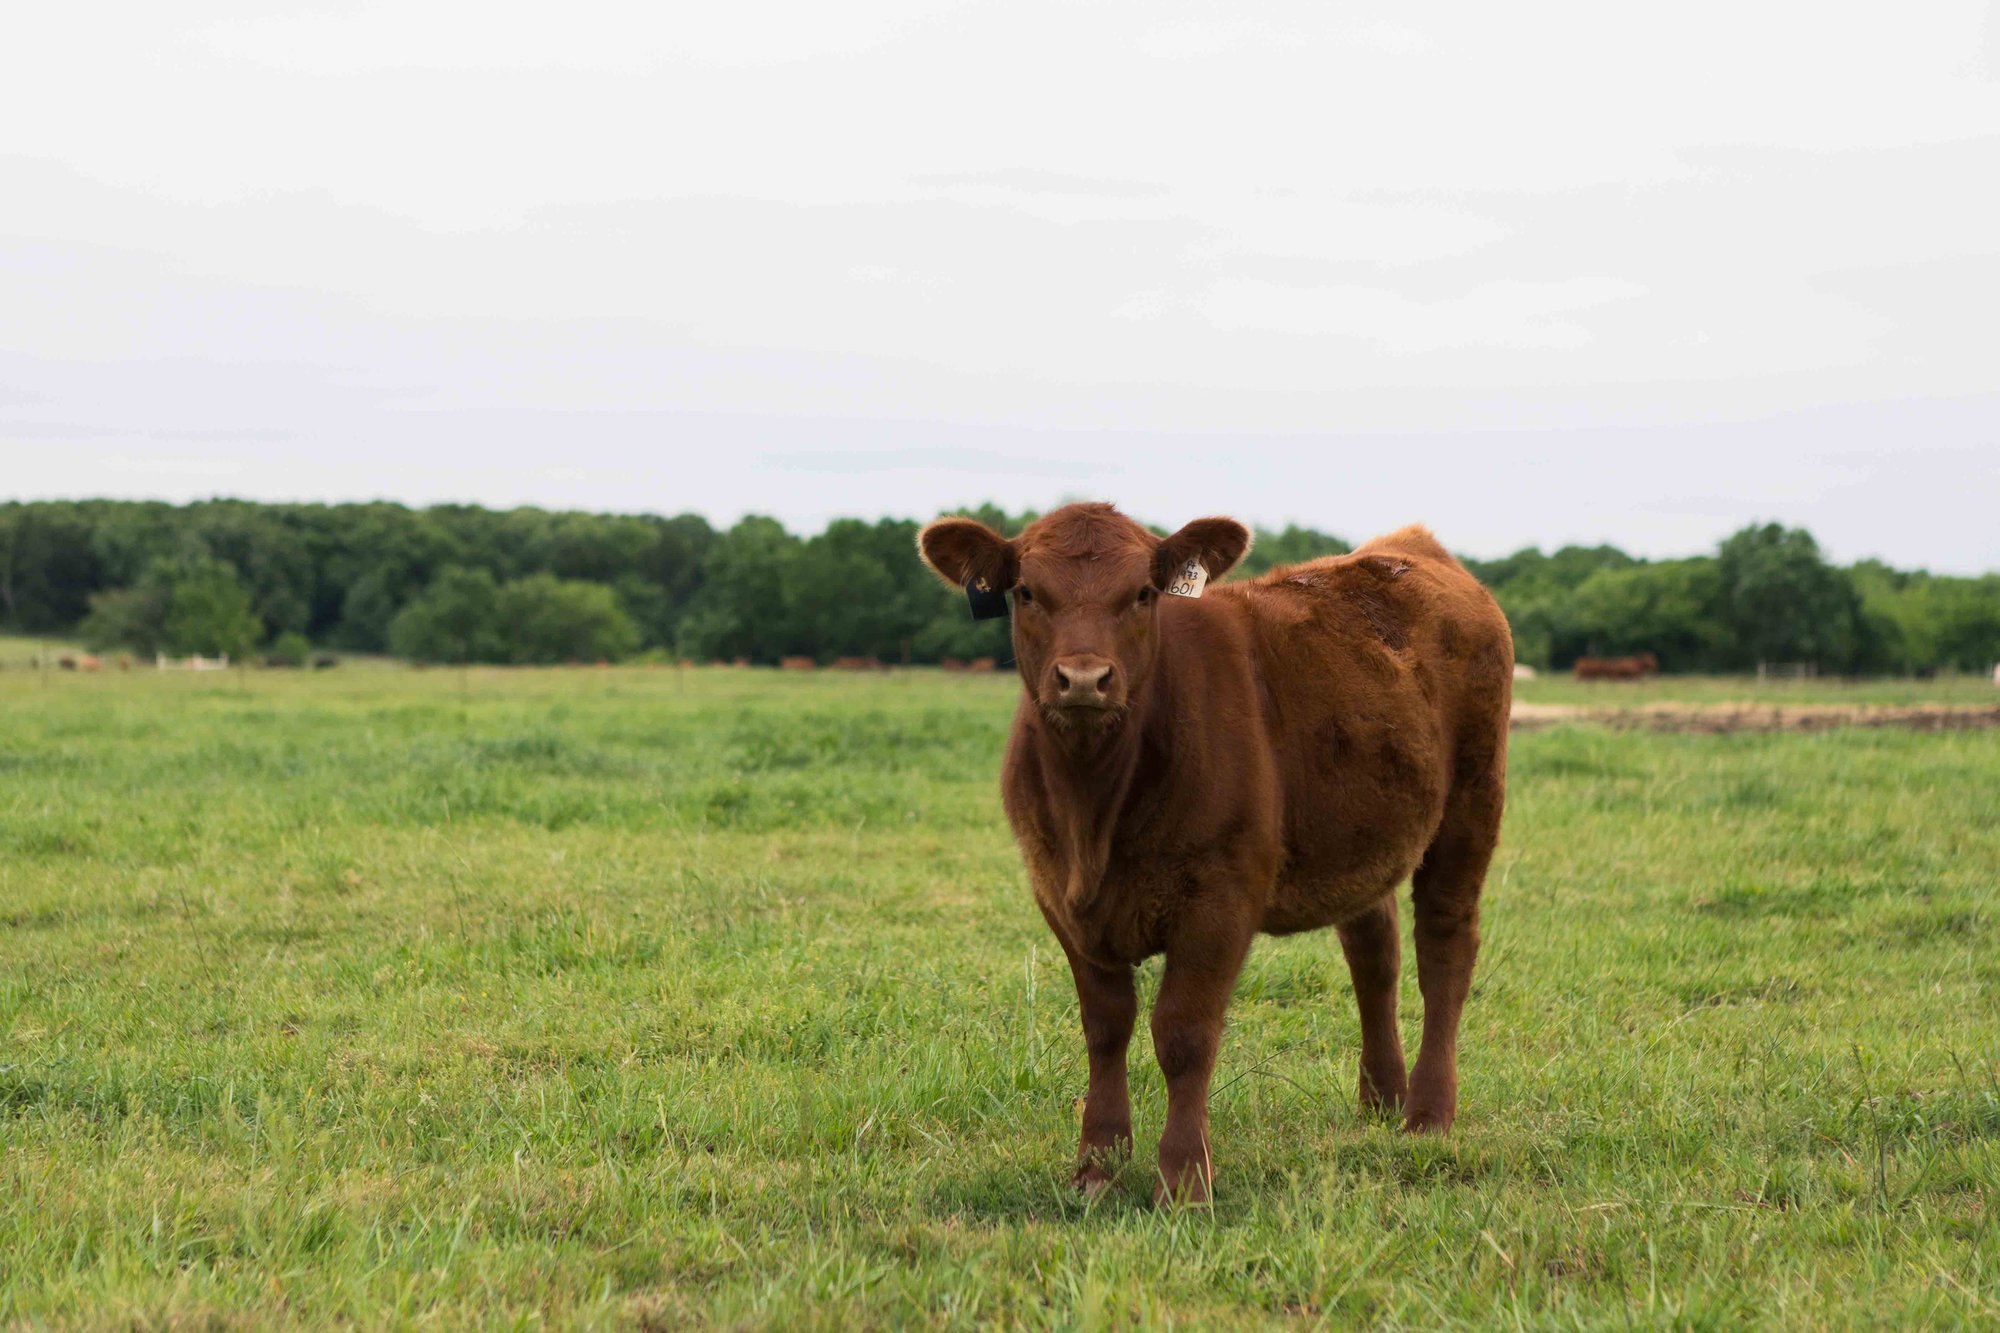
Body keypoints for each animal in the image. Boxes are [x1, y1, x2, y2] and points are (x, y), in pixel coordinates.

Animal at [918, 503, 1512, 1204]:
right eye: (1027, 592)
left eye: (1142, 593)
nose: (1085, 678)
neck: (1092, 815)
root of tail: (1410, 547)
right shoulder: (1056, 893)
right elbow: (1105, 1027)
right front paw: (1097, 1165)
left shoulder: (1220, 898)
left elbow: (1183, 1034)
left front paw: (1182, 1179)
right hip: (1362, 830)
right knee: (1375, 954)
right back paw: (1381, 1099)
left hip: (1472, 804)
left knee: (1445, 947)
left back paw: (1427, 1114)